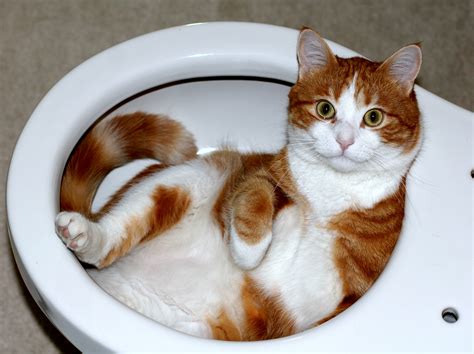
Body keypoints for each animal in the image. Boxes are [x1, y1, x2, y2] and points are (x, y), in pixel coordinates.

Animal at [53, 29, 420, 342]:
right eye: (325, 109)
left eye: (373, 117)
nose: (344, 140)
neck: (330, 192)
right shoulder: (262, 172)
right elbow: (256, 196)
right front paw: (248, 251)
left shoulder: (358, 291)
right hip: (190, 176)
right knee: (111, 238)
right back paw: (84, 234)